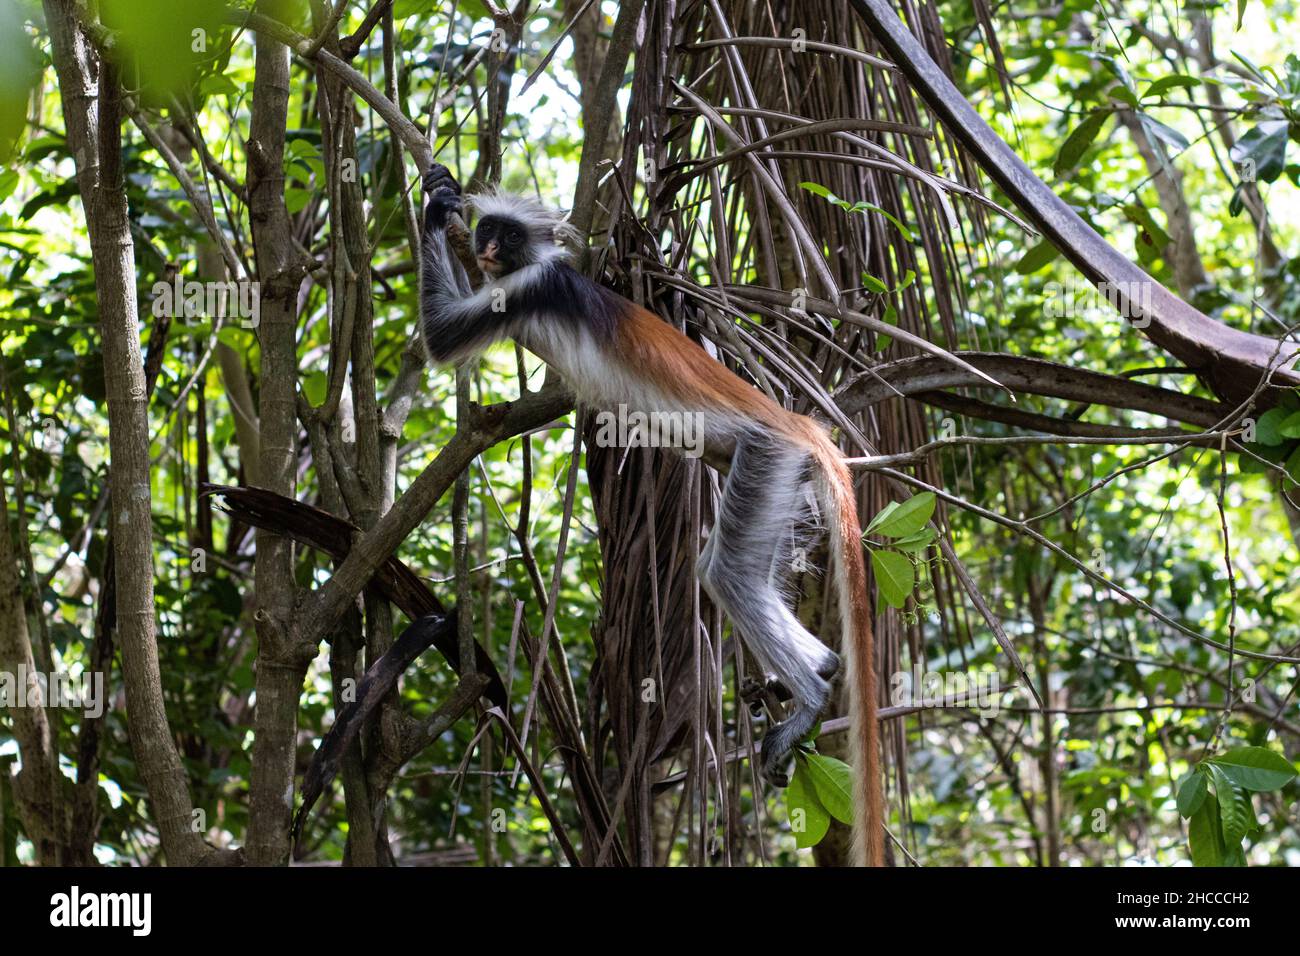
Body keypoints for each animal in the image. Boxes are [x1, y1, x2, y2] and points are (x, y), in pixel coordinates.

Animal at [421, 164, 889, 868]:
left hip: (765, 454)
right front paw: (440, 188)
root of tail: (795, 422)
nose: (488, 248)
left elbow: (443, 337)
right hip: (782, 479)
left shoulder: (531, 287)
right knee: (735, 568)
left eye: (508, 234)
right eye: (488, 231)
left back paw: (810, 698)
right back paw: (823, 668)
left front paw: (434, 204)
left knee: (724, 575)